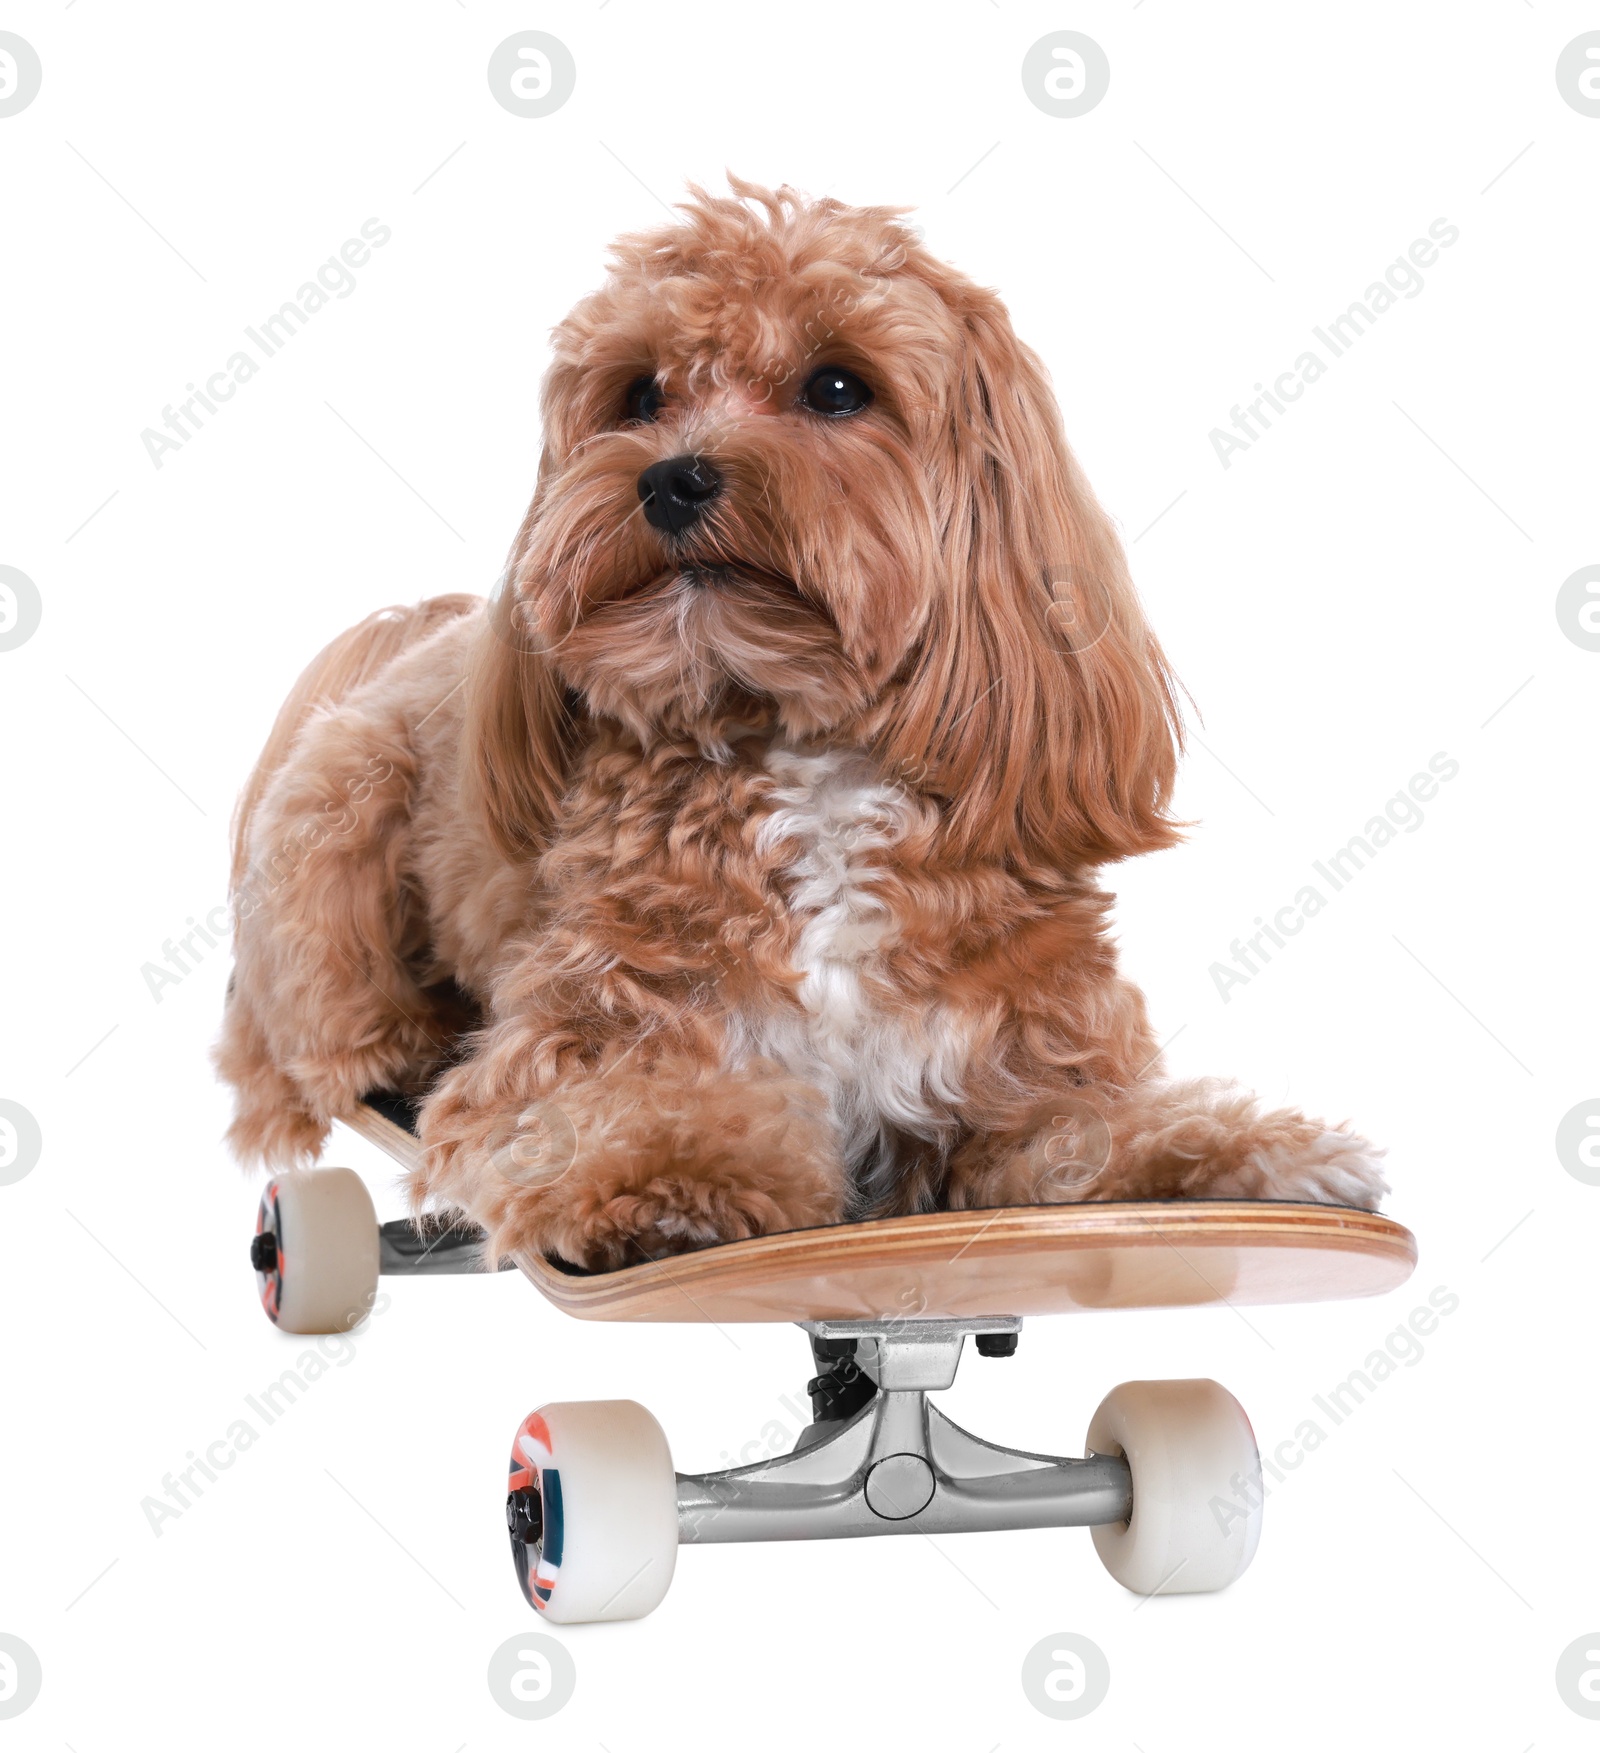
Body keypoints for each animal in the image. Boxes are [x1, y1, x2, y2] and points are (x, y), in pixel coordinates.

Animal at [215, 177, 1387, 1269]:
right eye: (638, 391)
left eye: (836, 387)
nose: (672, 477)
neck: (802, 753)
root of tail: (421, 634)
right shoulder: (563, 1052)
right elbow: (609, 1113)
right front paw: (668, 1179)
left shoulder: (1009, 1074)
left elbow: (1087, 1131)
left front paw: (1256, 1152)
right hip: (338, 813)